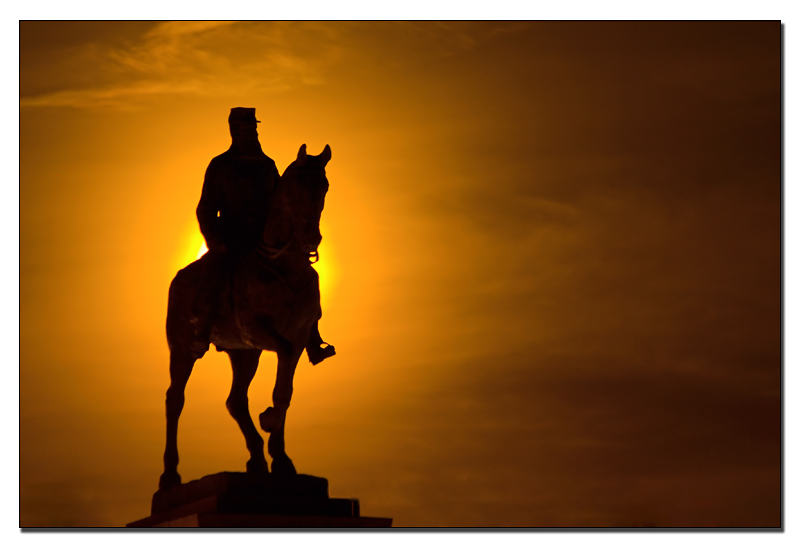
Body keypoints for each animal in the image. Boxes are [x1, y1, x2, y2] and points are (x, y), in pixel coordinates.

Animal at [158, 144, 332, 488]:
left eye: (324, 186)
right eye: (297, 185)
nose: (311, 238)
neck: (283, 266)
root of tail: (179, 279)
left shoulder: (298, 337)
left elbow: (284, 391)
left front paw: (281, 458)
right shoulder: (257, 329)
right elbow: (282, 369)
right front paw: (269, 420)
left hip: (243, 354)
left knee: (235, 400)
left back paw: (256, 459)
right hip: (183, 348)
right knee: (175, 398)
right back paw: (170, 474)